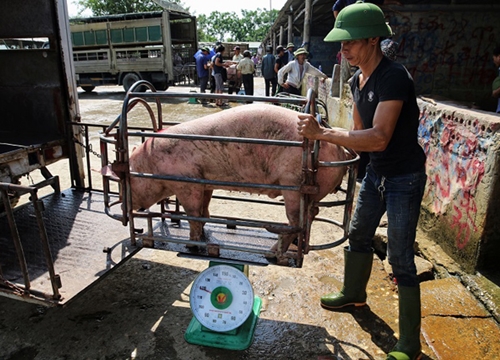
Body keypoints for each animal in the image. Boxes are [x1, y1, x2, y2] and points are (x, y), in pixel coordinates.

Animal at [129, 104, 348, 255]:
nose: (127, 205)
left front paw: (191, 246)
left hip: (293, 184)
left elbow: (192, 214)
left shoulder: (186, 182)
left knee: (296, 220)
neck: (151, 164)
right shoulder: (205, 181)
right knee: (312, 213)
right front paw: (204, 237)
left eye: (129, 179)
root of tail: (339, 149)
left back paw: (272, 254)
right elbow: (204, 211)